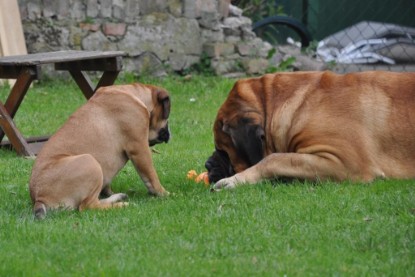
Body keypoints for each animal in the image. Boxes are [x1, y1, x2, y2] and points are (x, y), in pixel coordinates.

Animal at [29, 82, 171, 218]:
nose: (169, 133)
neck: (136, 94)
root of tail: (39, 198)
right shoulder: (139, 147)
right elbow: (151, 175)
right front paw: (163, 193)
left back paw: (117, 197)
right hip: (90, 161)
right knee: (88, 206)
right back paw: (121, 204)